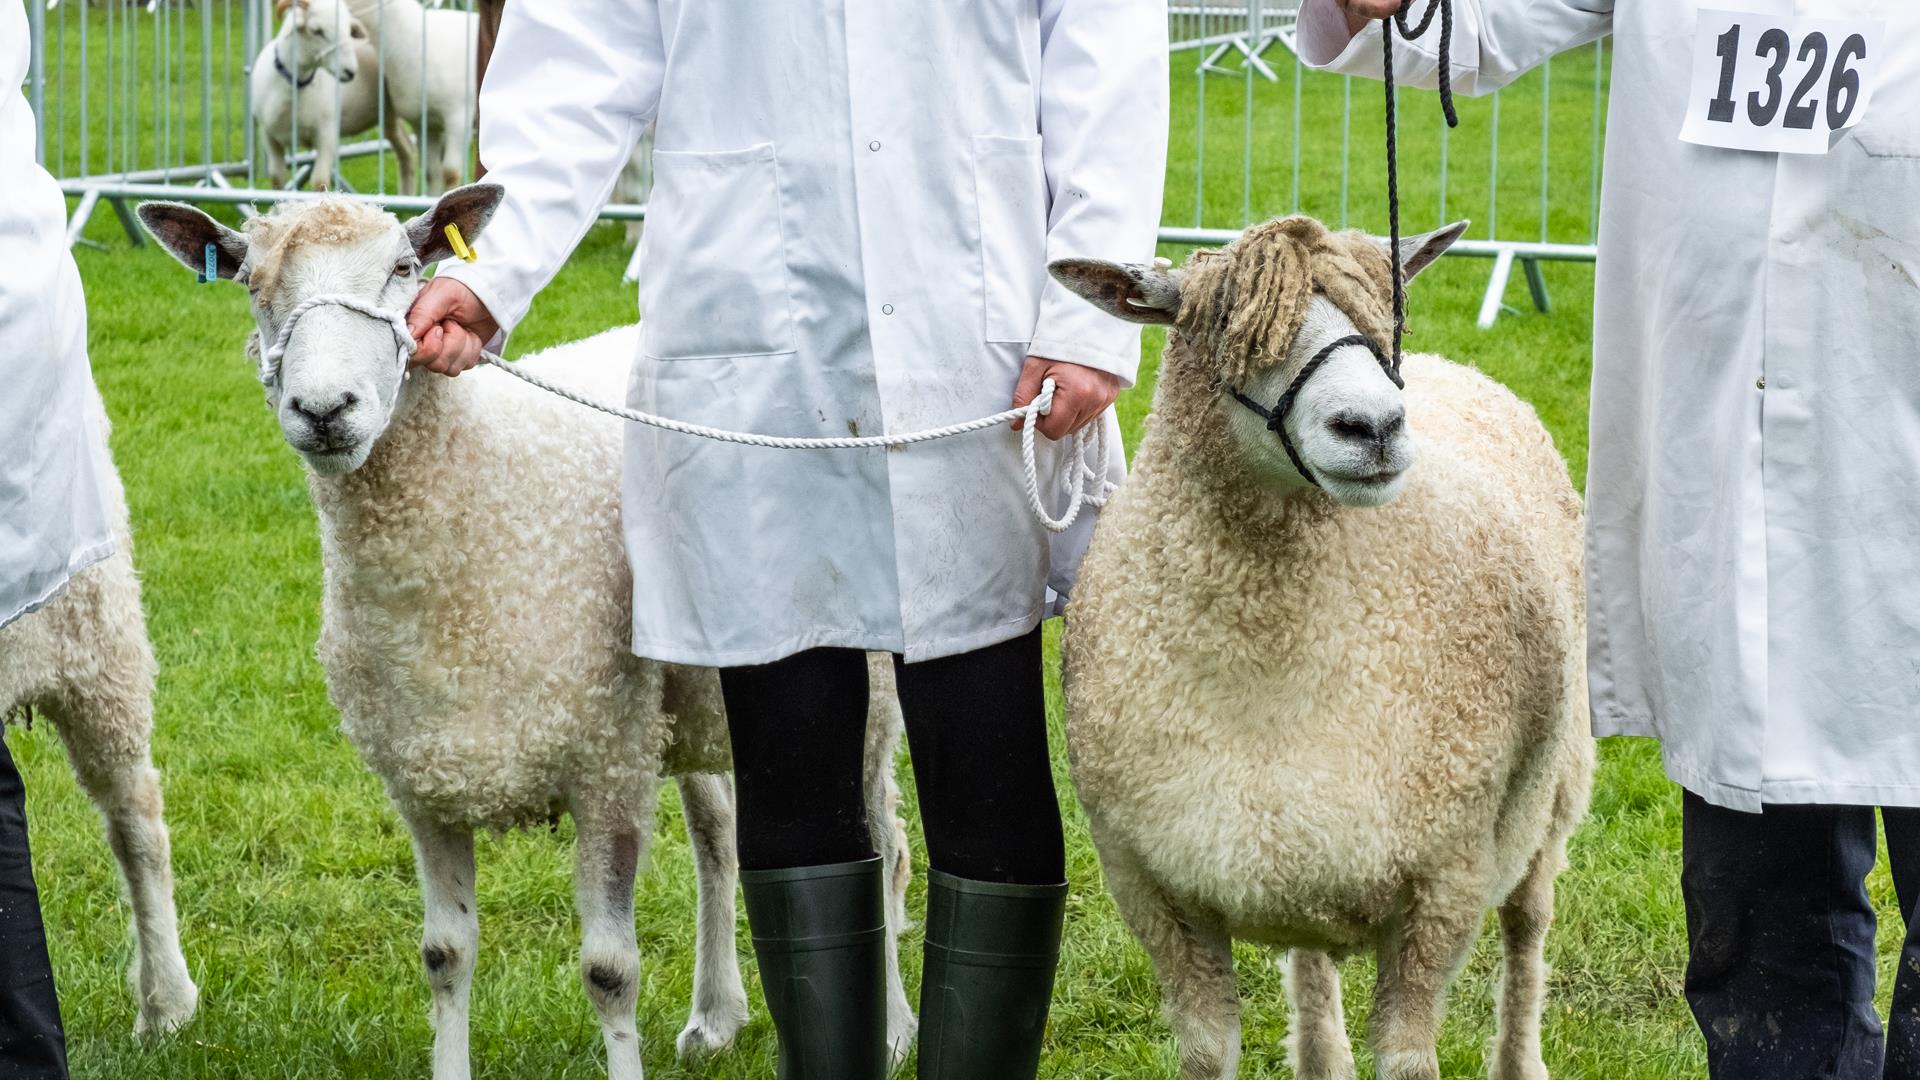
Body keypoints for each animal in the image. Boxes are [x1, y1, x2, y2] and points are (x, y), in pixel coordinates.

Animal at [135, 187, 917, 1080]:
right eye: (254, 287)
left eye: (403, 270)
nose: (325, 411)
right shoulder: (423, 779)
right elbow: (444, 955)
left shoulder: (607, 764)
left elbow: (610, 970)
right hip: (692, 696)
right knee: (721, 835)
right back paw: (716, 1016)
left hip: (863, 689)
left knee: (884, 845)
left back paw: (894, 1028)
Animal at [249, 0, 419, 194]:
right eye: (317, 30)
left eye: (349, 31)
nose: (350, 71)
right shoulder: (269, 137)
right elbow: (277, 180)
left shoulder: (327, 134)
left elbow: (319, 181)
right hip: (387, 115)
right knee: (407, 151)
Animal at [1049, 215, 1593, 1080]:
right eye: (1229, 329)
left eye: (1384, 320)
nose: (1375, 428)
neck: (1275, 655)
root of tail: (1453, 367)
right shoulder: (1153, 888)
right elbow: (1207, 1053)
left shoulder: (1443, 887)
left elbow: (1409, 1061)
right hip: (1299, 853)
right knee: (1309, 954)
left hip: (1556, 786)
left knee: (1528, 928)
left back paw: (1519, 1059)